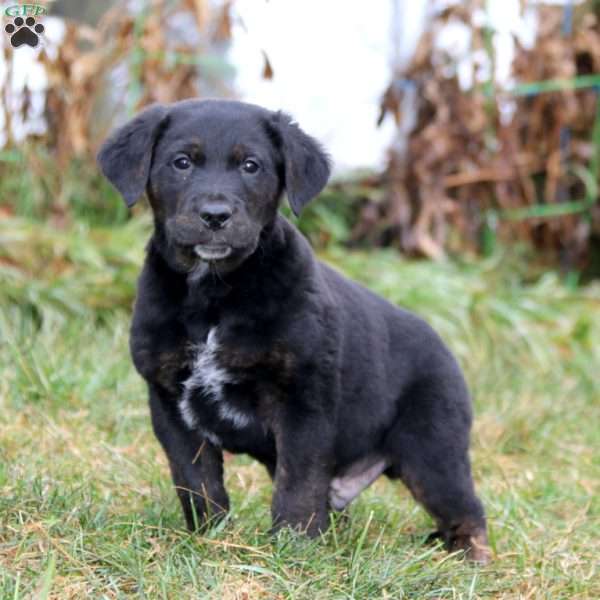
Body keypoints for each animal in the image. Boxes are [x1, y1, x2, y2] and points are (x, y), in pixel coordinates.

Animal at [98, 98, 490, 564]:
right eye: (181, 162)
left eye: (251, 166)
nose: (215, 216)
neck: (213, 291)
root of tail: (446, 348)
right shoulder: (170, 400)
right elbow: (197, 480)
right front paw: (210, 539)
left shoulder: (302, 397)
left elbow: (298, 481)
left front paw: (293, 548)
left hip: (432, 448)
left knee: (465, 509)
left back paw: (470, 557)